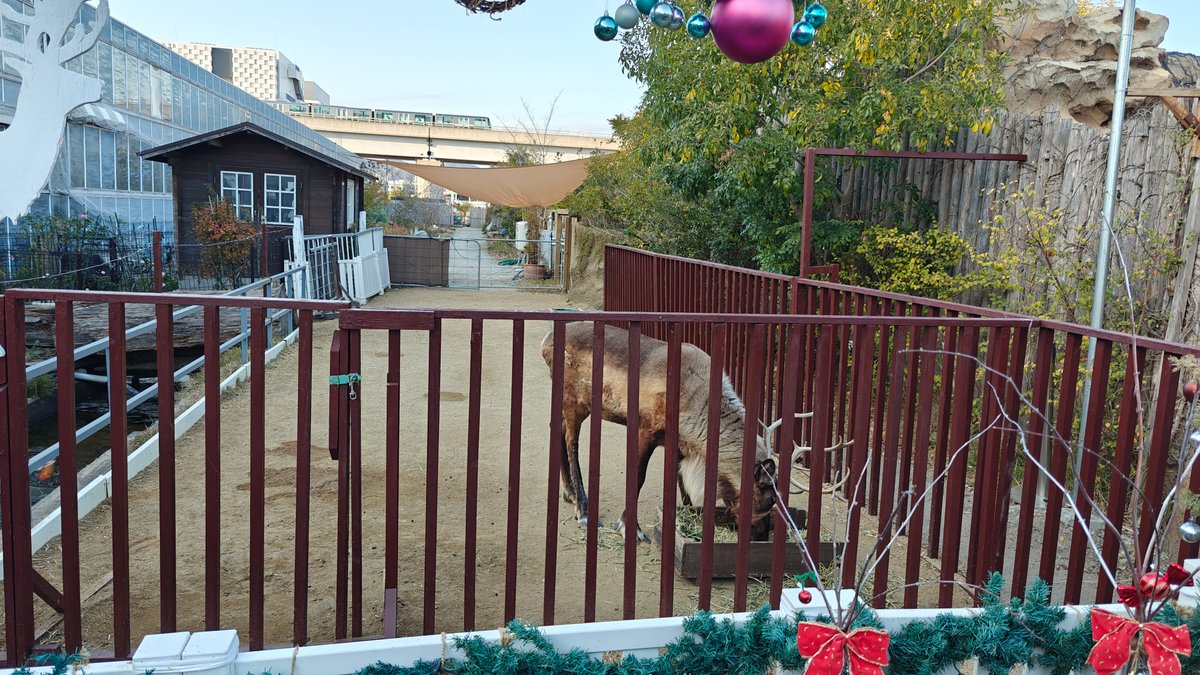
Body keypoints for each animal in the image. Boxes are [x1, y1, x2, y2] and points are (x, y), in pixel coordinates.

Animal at [541, 321, 778, 543]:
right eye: (769, 501)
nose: (762, 537)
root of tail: (546, 341)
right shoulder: (646, 430)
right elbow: (638, 477)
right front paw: (628, 526)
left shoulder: (681, 443)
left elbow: (680, 480)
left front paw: (686, 514)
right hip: (575, 401)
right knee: (571, 441)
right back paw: (583, 509)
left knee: (558, 429)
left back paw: (569, 493)